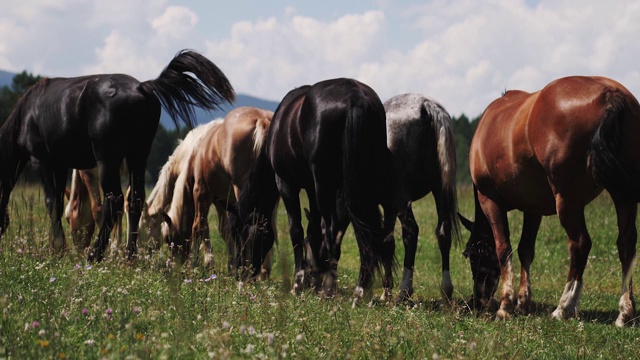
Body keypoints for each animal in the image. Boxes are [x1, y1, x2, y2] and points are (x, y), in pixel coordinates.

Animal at [0, 48, 235, 262]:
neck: (26, 114)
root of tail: (142, 87)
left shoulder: (41, 161)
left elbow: (51, 201)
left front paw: (58, 247)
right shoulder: (60, 165)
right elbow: (57, 202)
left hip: (108, 160)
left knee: (114, 201)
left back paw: (95, 254)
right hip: (138, 155)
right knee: (134, 200)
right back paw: (129, 255)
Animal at [160, 107, 276, 276]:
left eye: (168, 239)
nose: (174, 266)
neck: (198, 150)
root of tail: (262, 119)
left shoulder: (202, 192)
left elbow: (199, 226)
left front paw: (198, 264)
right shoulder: (222, 200)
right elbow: (226, 230)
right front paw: (231, 265)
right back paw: (263, 271)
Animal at [232, 77, 398, 300]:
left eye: (241, 235)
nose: (239, 273)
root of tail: (356, 97)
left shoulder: (287, 184)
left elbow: (296, 231)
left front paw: (299, 282)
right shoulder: (310, 189)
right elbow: (312, 231)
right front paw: (312, 279)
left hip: (325, 188)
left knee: (332, 234)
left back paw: (330, 289)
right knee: (374, 236)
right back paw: (364, 290)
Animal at [382, 93, 458, 300]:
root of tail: (426, 105)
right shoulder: (388, 206)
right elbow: (387, 241)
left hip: (402, 197)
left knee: (411, 232)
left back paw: (404, 290)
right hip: (439, 189)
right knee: (443, 232)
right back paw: (446, 289)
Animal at [460, 75, 640, 326]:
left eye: (472, 254)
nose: (477, 299)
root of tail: (610, 95)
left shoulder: (490, 201)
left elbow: (504, 249)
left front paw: (506, 305)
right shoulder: (532, 208)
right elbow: (526, 249)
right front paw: (522, 301)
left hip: (567, 201)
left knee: (580, 244)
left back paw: (564, 307)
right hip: (622, 195)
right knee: (626, 243)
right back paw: (625, 311)